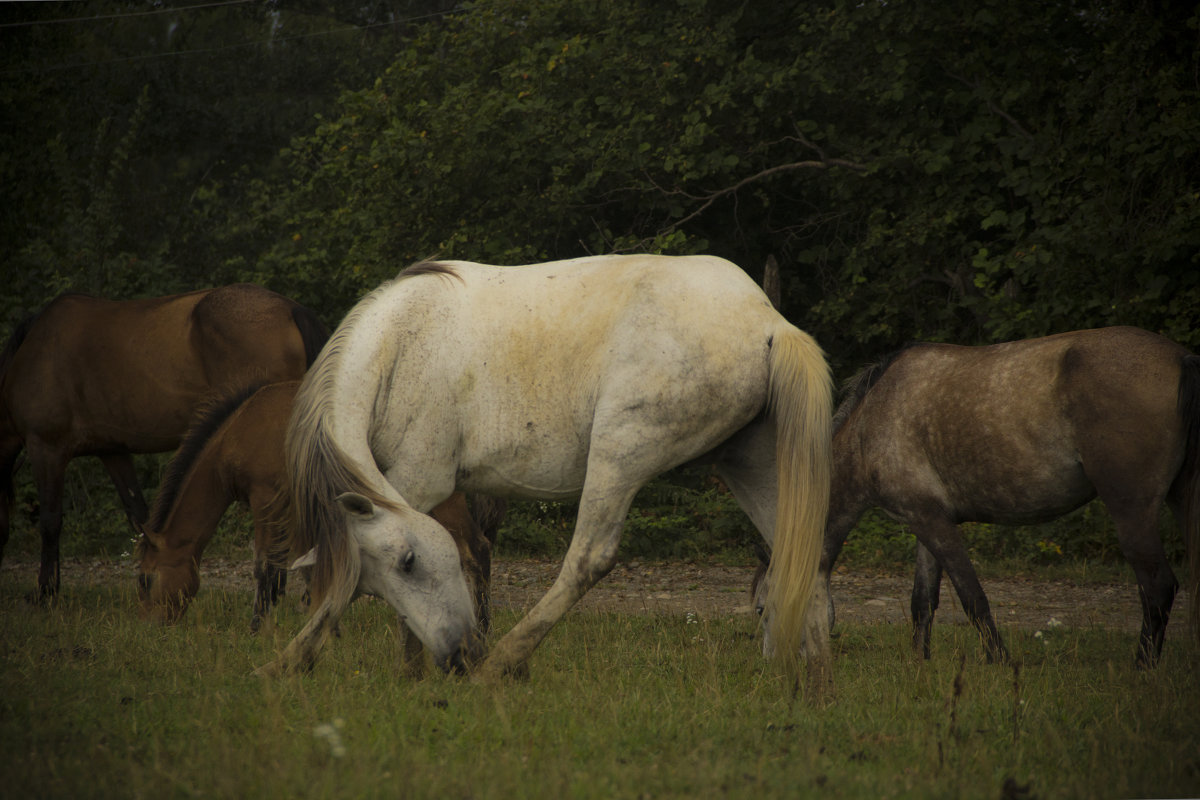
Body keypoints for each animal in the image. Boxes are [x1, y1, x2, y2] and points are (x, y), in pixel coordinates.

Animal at [0, 284, 328, 597]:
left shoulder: (46, 447)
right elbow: (139, 516)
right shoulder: (112, 451)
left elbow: (50, 521)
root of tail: (291, 309)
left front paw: (46, 590)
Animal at [137, 381, 501, 657]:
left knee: (475, 550)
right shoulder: (302, 509)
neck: (240, 430)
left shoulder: (267, 500)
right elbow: (312, 567)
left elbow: (265, 567)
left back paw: (481, 629)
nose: (152, 627)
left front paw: (258, 628)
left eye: (145, 580)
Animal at [258, 255, 830, 681]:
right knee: (802, 554)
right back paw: (813, 678)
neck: (398, 346)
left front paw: (294, 660)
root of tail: (767, 320)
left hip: (619, 454)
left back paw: (504, 662)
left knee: (587, 560)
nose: (460, 656)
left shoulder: (419, 482)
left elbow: (346, 578)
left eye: (409, 562)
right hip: (748, 463)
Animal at [806, 328, 1200, 666]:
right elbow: (922, 601)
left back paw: (1142, 668)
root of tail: (1182, 359)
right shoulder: (925, 520)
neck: (872, 426)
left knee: (1158, 586)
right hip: (1180, 500)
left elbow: (972, 597)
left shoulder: (934, 523)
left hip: (1131, 509)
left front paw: (999, 661)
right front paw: (920, 663)